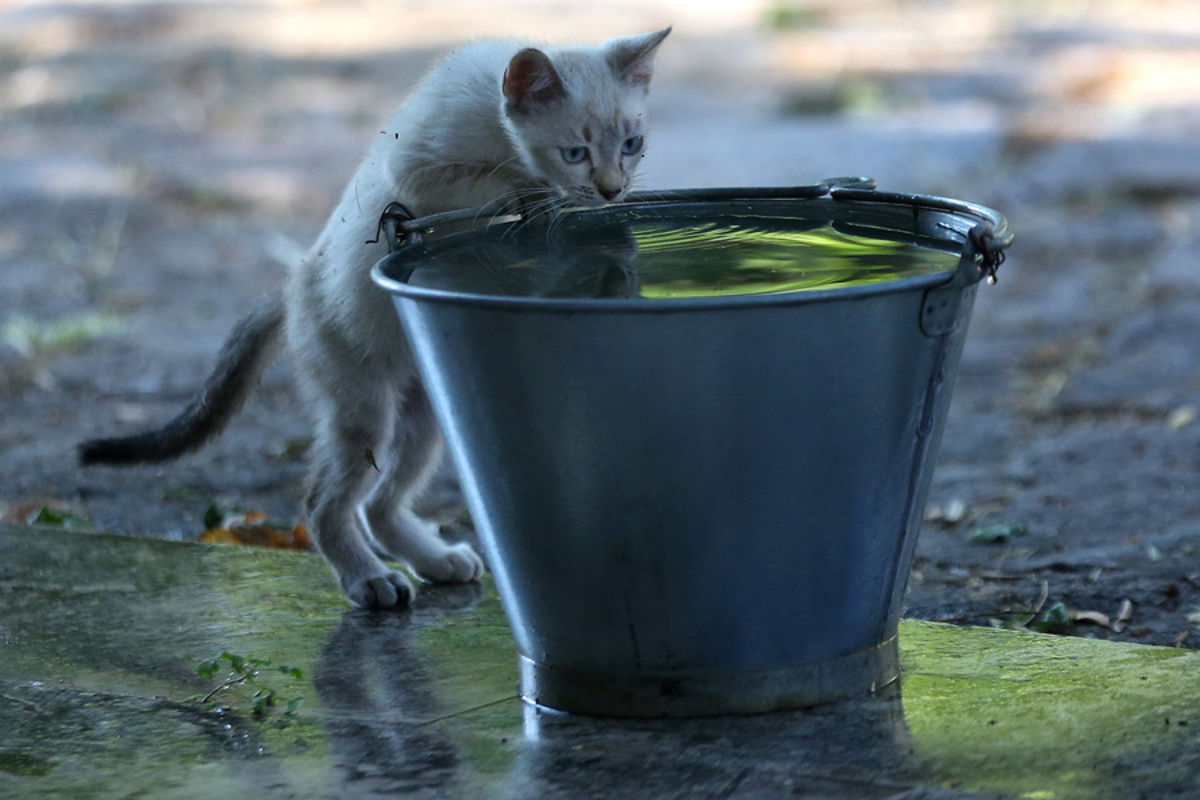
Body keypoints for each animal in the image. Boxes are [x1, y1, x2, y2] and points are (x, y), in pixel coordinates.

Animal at [79, 29, 672, 606]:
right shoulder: (417, 170)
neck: (494, 120)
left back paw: (436, 561)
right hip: (363, 408)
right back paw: (368, 580)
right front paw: (538, 193)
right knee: (322, 502)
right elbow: (494, 183)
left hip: (428, 411)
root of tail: (290, 290)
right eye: (574, 152)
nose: (612, 189)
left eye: (632, 145)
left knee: (378, 505)